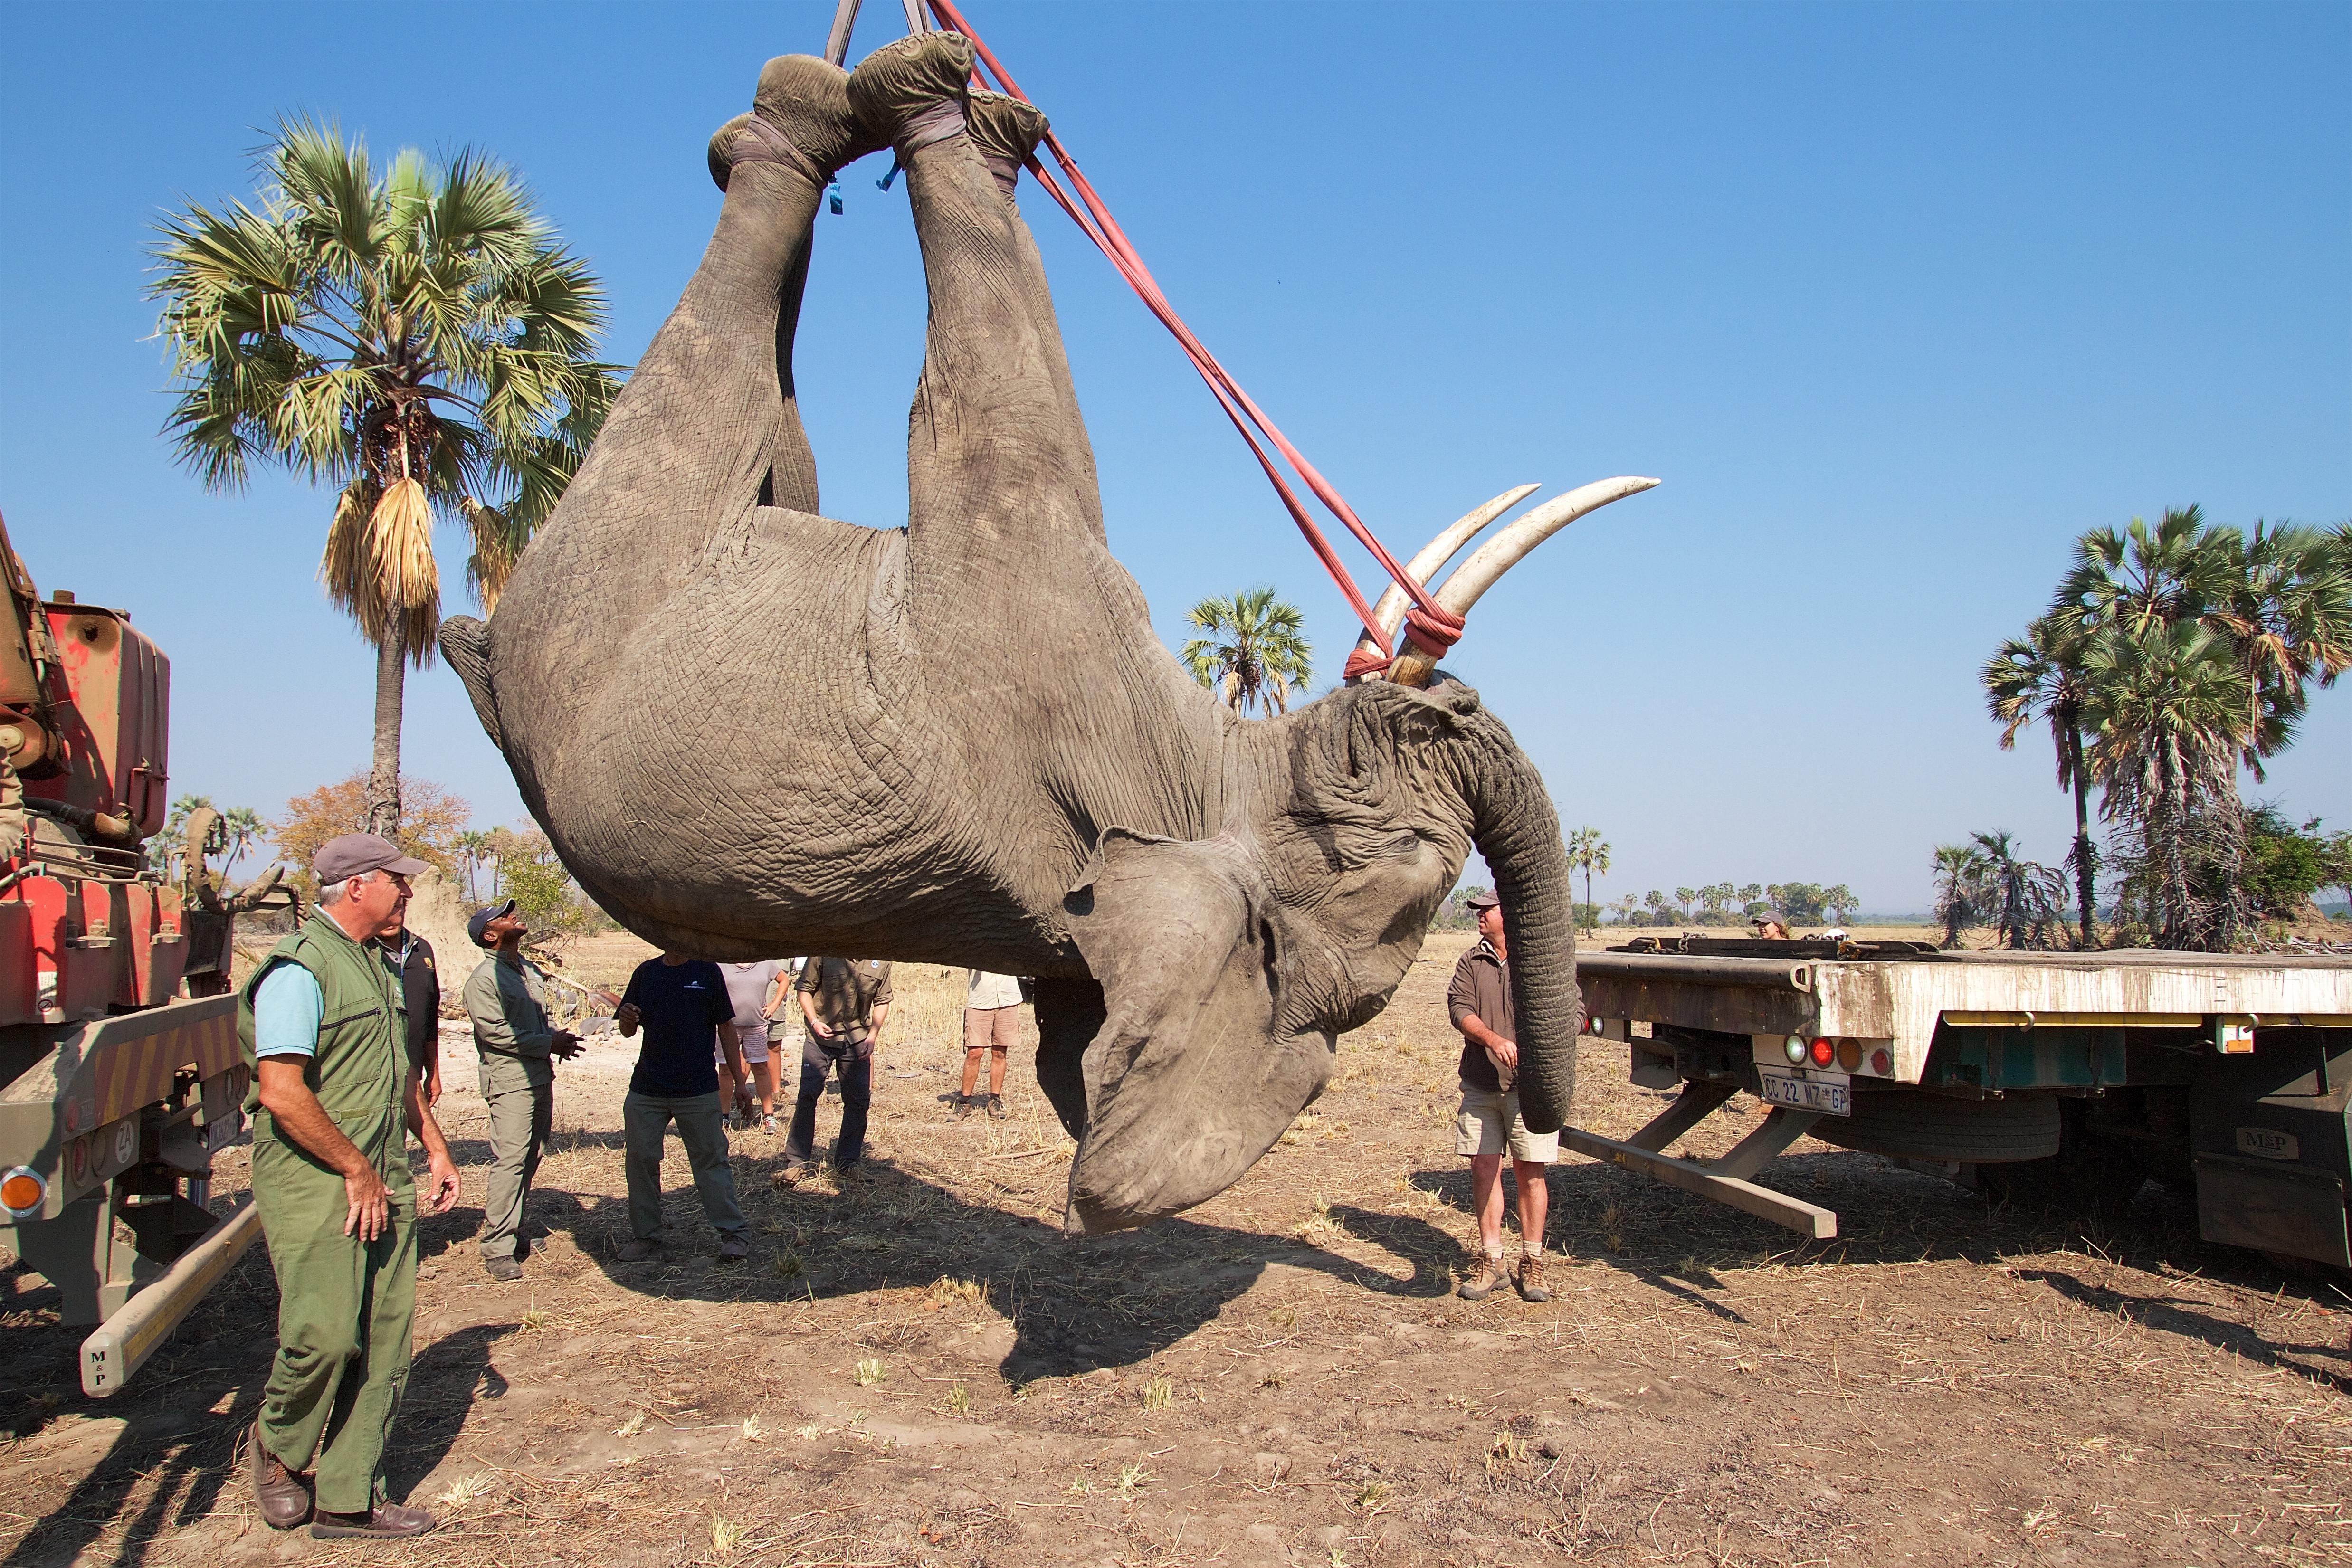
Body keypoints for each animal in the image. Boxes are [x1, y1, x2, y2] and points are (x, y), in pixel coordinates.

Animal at [444, 30, 1656, 1241]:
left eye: (1409, 865)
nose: (1452, 697)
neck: (1195, 764)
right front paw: (989, 112)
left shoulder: (1027, 625)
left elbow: (998, 423)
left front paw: (942, 103)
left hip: (610, 554)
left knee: (715, 367)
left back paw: (822, 107)